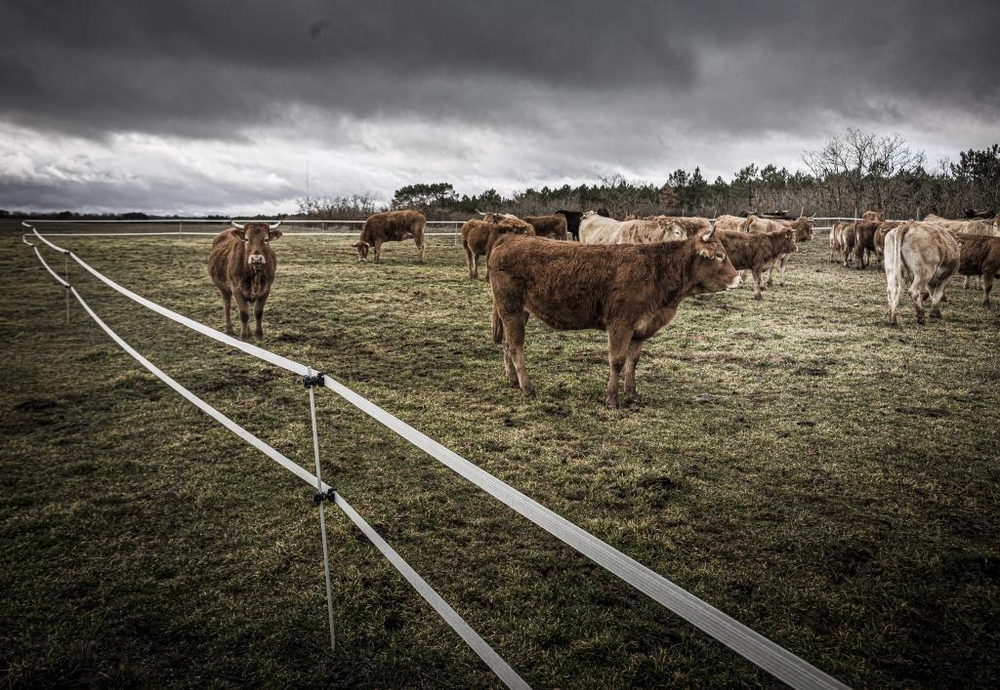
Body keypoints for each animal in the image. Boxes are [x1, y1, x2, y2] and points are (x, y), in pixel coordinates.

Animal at [488, 226, 740, 408]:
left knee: (508, 344)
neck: (656, 271)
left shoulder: (640, 329)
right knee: (516, 346)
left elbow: (633, 361)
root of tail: (508, 238)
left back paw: (513, 380)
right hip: (511, 309)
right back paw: (527, 387)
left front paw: (632, 393)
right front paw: (611, 398)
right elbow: (617, 360)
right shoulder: (620, 324)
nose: (739, 279)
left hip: (518, 312)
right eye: (719, 255)